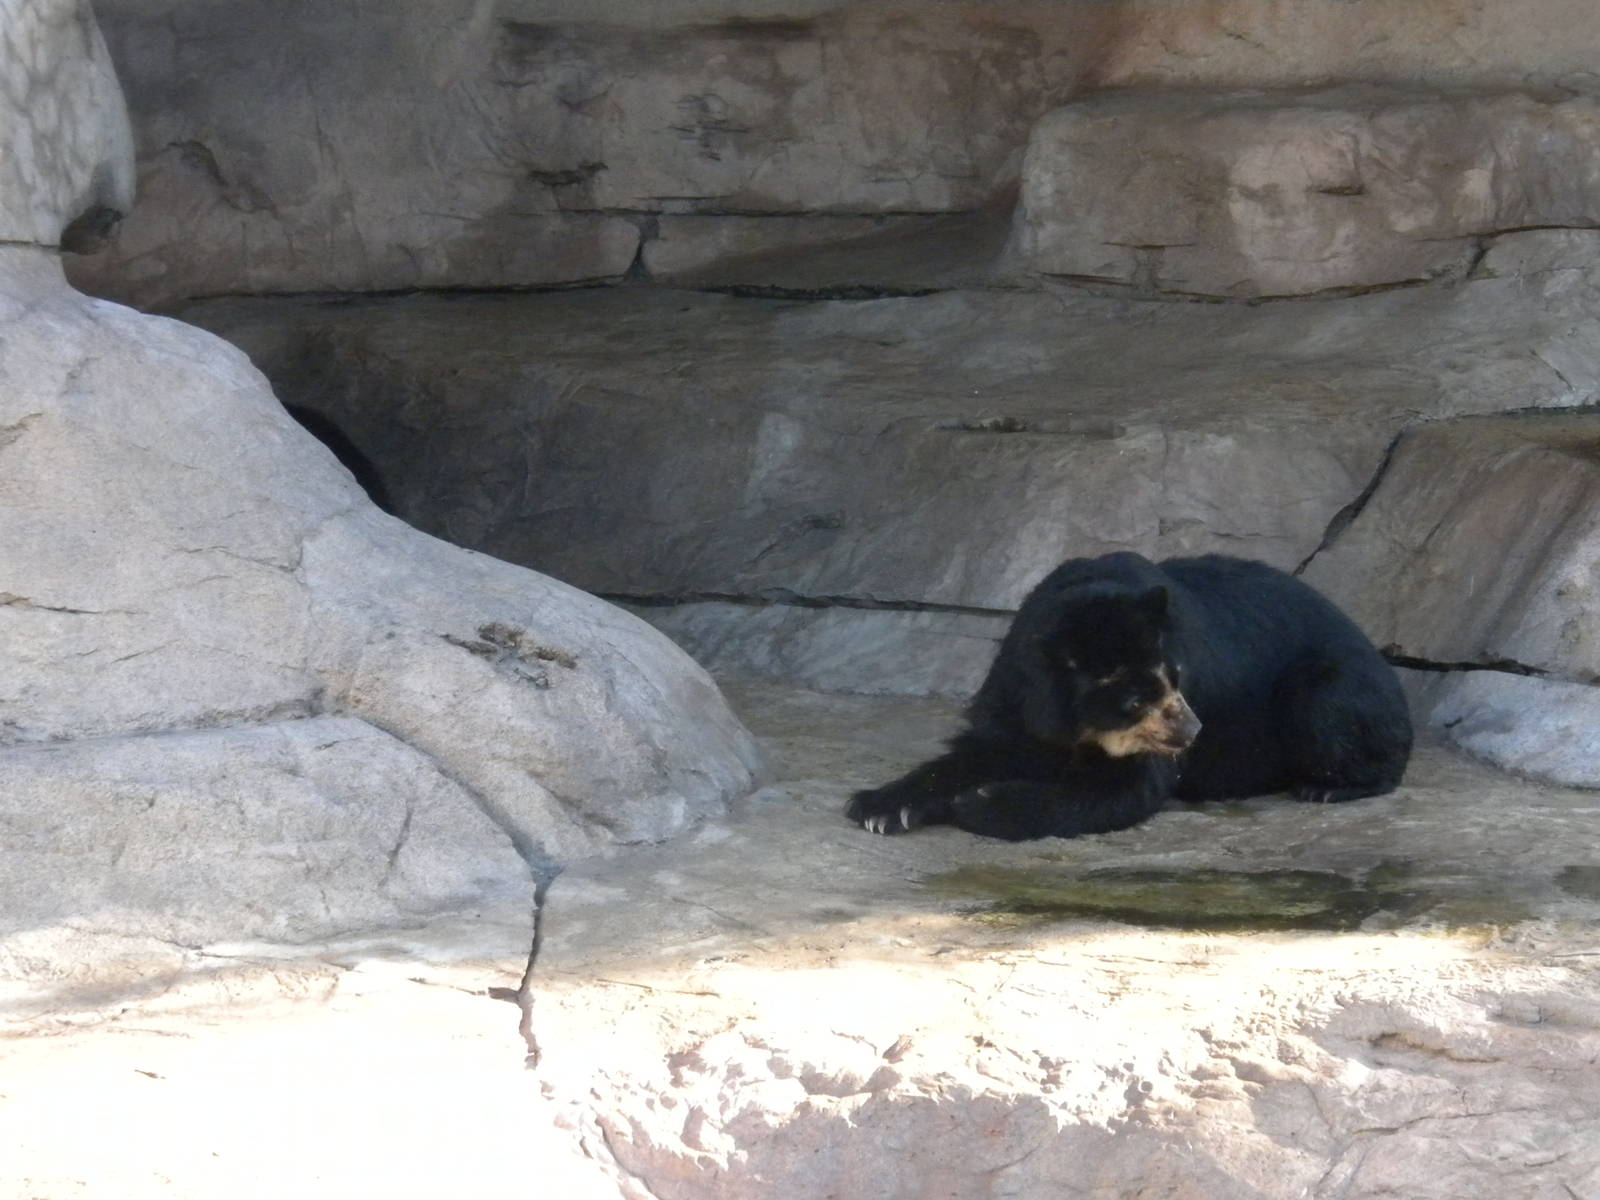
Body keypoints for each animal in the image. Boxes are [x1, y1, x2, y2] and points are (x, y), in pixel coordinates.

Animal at [846, 552, 1412, 841]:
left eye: (1177, 678)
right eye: (1137, 699)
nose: (1194, 732)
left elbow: (1122, 788)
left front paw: (981, 801)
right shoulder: (1016, 688)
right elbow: (987, 746)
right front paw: (878, 807)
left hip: (1335, 686)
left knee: (1326, 705)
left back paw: (1327, 787)